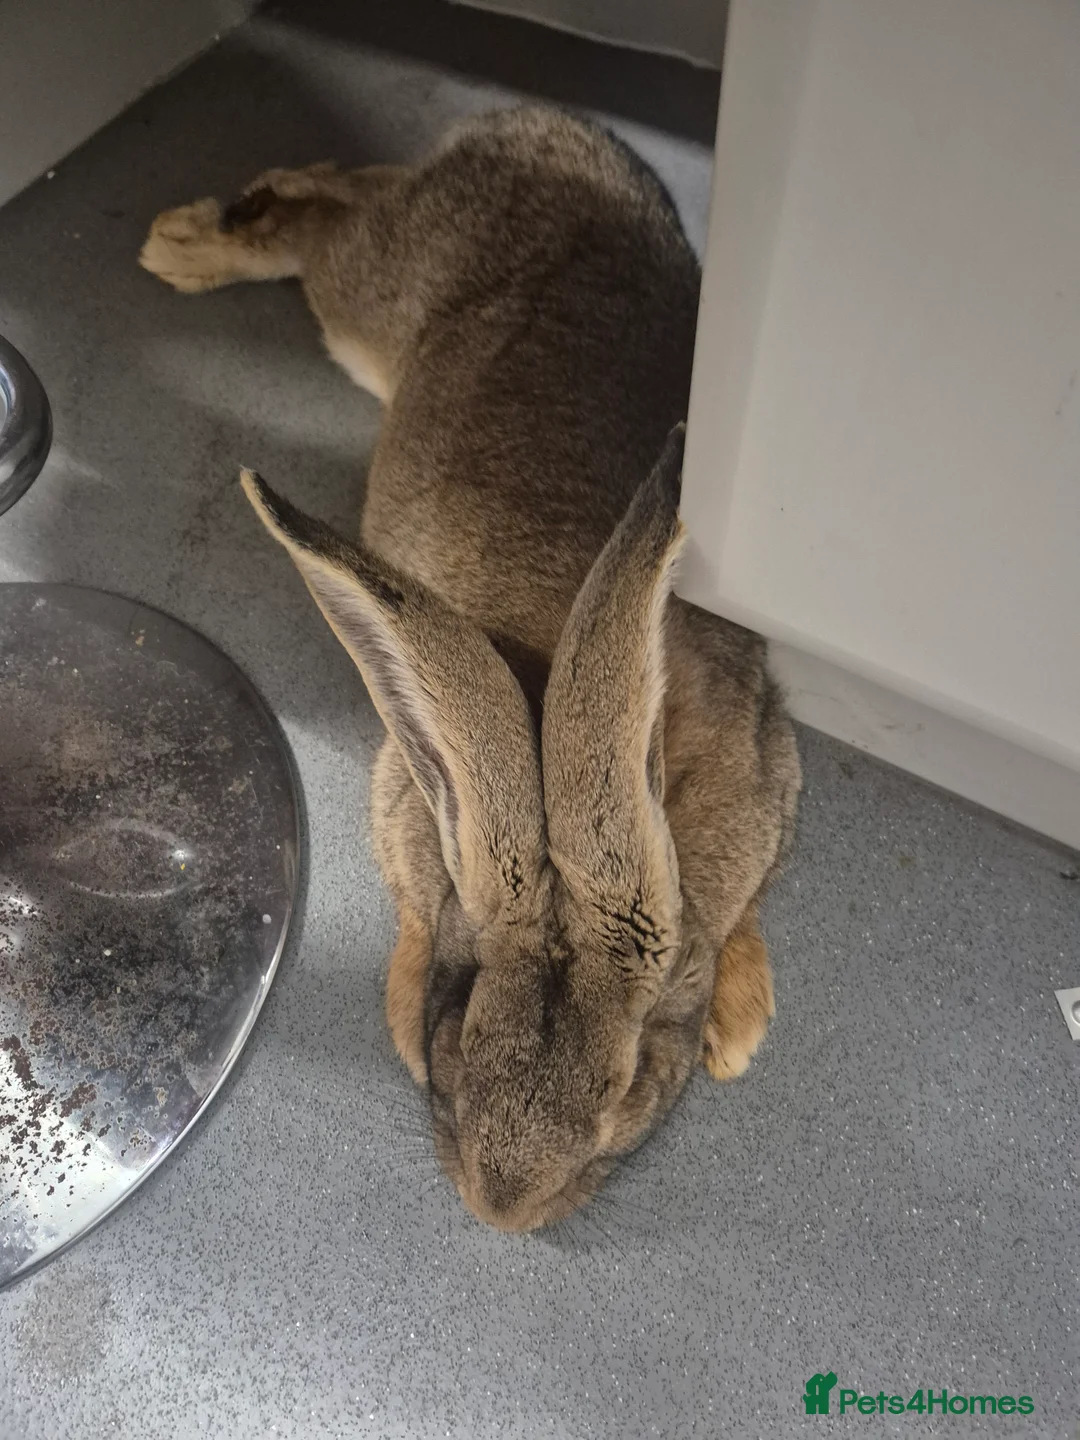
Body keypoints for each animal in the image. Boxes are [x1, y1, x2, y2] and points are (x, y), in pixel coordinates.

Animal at [139, 106, 801, 1231]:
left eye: (625, 1087)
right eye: (459, 1033)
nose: (504, 1211)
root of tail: (531, 123)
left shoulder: (769, 763)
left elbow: (748, 901)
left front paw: (736, 1027)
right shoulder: (411, 788)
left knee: (343, 185)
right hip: (367, 301)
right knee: (325, 209)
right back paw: (183, 245)